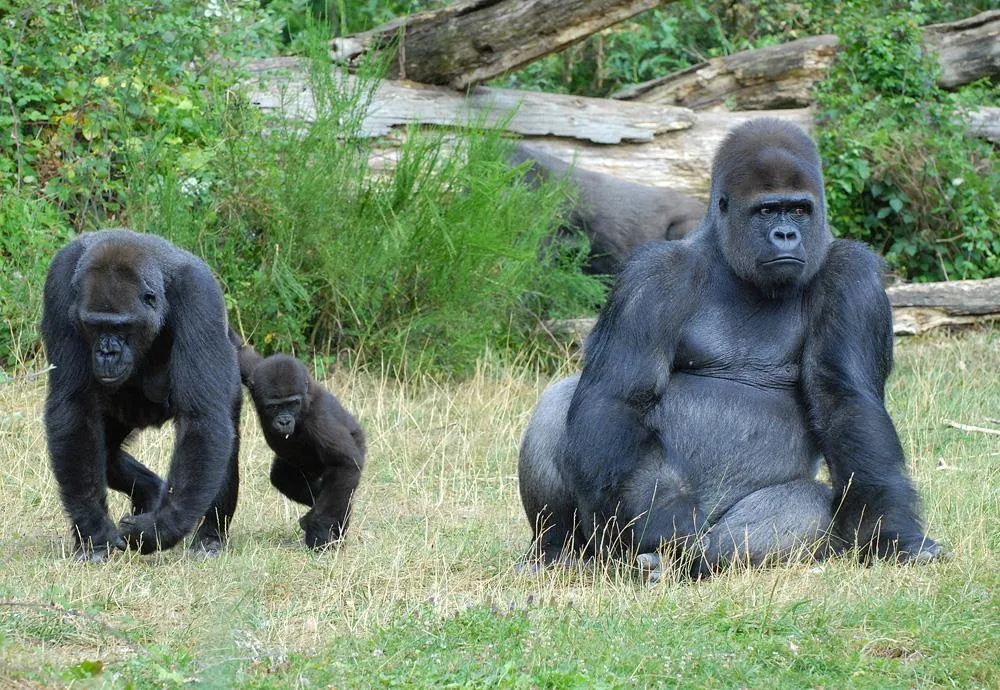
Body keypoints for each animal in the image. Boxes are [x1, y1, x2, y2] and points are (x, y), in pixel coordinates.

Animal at [43, 227, 242, 560]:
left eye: (121, 327)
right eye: (94, 326)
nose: (107, 352)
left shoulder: (199, 294)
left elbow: (202, 419)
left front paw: (158, 528)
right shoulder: (58, 283)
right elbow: (73, 407)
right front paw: (94, 529)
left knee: (222, 434)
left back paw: (210, 536)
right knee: (105, 451)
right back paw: (148, 490)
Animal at [236, 344, 366, 548]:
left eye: (292, 404)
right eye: (274, 406)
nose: (284, 421)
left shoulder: (320, 419)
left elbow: (345, 463)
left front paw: (319, 529)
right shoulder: (254, 372)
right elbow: (240, 351)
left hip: (358, 441)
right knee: (284, 479)